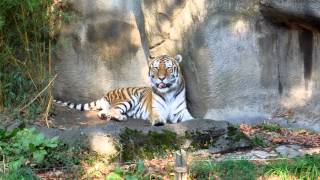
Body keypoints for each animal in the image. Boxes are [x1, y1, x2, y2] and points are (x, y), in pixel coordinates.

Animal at [54, 54, 194, 126]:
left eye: (169, 68)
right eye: (155, 67)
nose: (161, 78)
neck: (168, 93)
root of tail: (107, 93)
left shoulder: (181, 112)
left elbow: (190, 119)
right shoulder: (156, 110)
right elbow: (158, 116)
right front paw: (159, 121)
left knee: (104, 111)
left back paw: (105, 115)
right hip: (128, 98)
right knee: (113, 110)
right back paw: (120, 117)